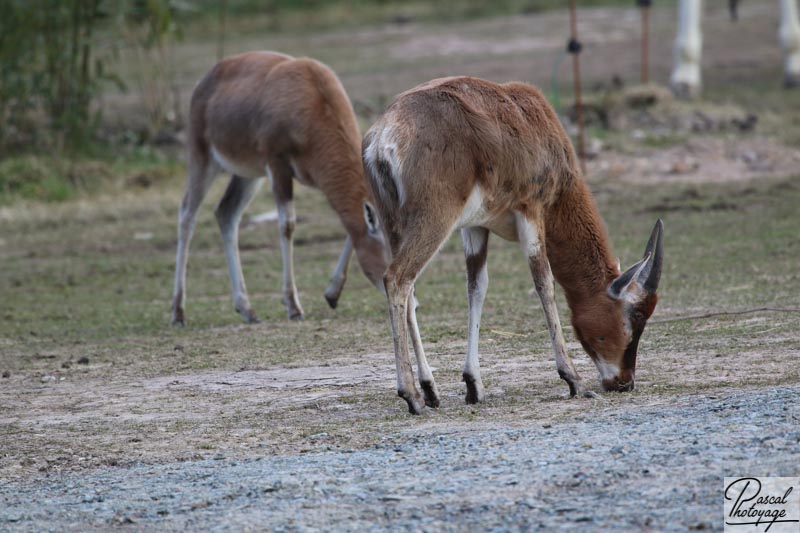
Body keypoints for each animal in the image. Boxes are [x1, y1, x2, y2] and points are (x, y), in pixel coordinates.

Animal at [171, 52, 388, 324]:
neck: (311, 92)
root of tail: (206, 80)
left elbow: (349, 229)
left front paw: (331, 294)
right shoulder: (278, 167)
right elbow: (287, 225)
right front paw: (293, 306)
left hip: (248, 175)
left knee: (226, 213)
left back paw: (247, 308)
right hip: (203, 161)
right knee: (187, 214)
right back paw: (178, 312)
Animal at [362, 77, 664, 414]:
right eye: (636, 315)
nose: (624, 382)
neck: (535, 119)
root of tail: (383, 136)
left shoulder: (476, 226)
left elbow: (477, 287)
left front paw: (474, 386)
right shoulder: (531, 210)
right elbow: (544, 282)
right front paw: (574, 380)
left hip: (394, 225)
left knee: (409, 288)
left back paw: (429, 389)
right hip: (434, 220)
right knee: (397, 278)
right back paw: (412, 395)